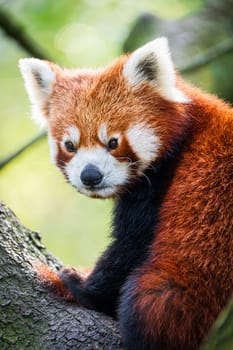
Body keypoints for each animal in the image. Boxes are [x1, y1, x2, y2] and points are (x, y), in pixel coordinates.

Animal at [19, 38, 232, 350]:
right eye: (70, 145)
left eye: (113, 142)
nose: (90, 175)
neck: (185, 131)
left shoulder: (160, 183)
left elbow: (131, 245)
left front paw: (81, 287)